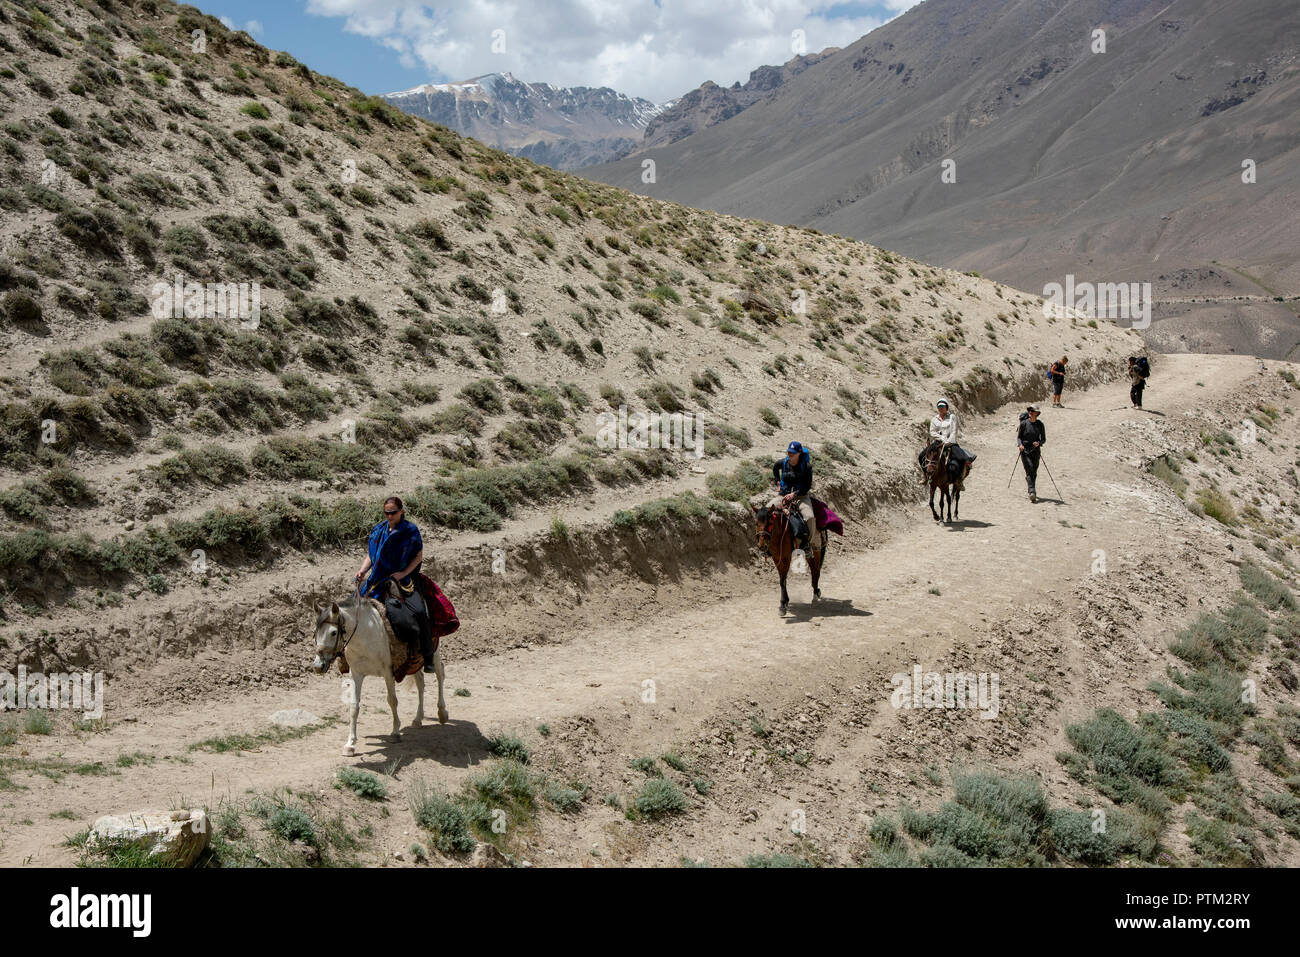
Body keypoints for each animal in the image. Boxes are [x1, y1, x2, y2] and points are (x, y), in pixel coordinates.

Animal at [312, 598, 449, 754]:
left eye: (334, 632)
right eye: (315, 632)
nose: (318, 666)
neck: (365, 637)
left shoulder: (388, 672)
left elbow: (392, 701)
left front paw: (395, 733)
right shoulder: (356, 674)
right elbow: (354, 706)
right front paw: (350, 744)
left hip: (434, 653)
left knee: (440, 674)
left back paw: (442, 713)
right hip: (414, 662)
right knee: (420, 682)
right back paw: (418, 719)